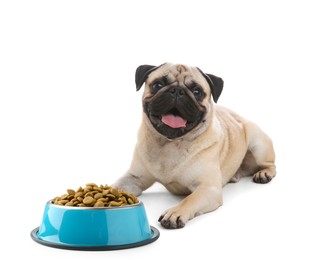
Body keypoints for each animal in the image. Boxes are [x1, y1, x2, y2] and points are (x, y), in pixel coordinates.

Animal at [114, 62, 278, 228]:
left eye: (197, 91)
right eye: (158, 85)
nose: (177, 91)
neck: (170, 144)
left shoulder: (207, 188)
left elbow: (190, 199)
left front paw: (175, 213)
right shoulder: (134, 178)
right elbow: (116, 186)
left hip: (258, 143)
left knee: (270, 164)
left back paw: (264, 174)